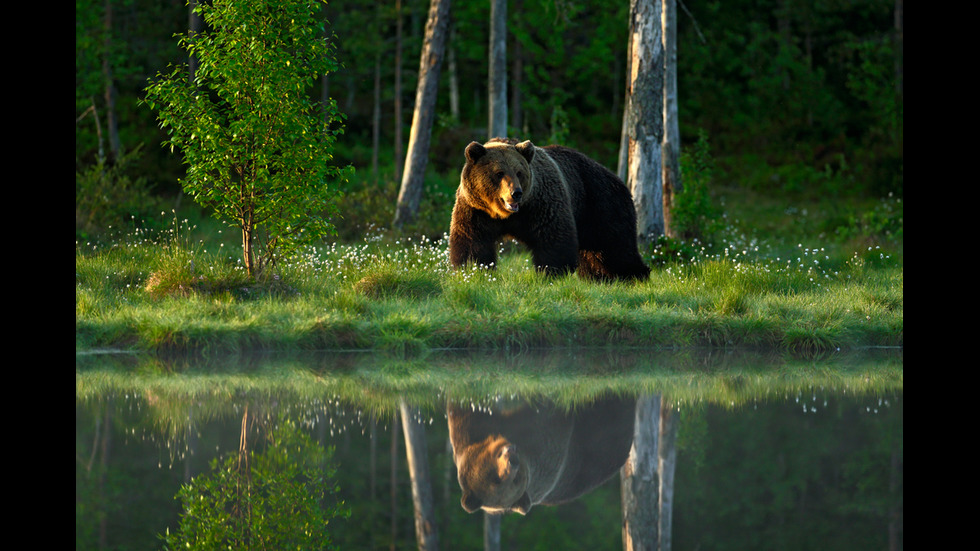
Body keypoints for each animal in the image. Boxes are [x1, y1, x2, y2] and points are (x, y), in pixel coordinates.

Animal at [450, 137, 652, 282]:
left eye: (519, 172)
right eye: (499, 173)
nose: (516, 193)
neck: (505, 215)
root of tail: (617, 179)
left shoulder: (541, 204)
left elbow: (553, 238)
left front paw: (552, 272)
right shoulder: (476, 210)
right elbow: (472, 241)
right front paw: (473, 269)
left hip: (601, 204)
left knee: (615, 246)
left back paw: (634, 274)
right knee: (596, 252)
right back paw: (597, 277)